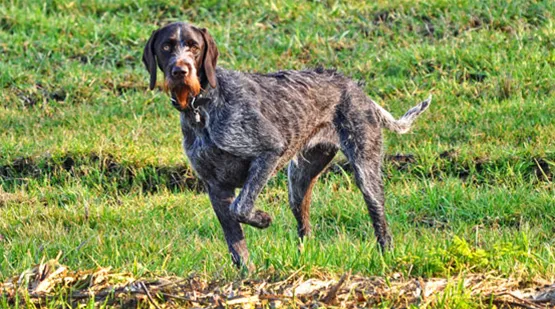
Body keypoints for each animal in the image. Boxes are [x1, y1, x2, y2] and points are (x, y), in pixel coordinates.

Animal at [142, 22, 430, 268]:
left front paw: (262, 219)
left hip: (365, 172)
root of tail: (355, 87)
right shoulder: (215, 187)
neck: (201, 109)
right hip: (298, 183)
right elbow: (236, 244)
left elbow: (241, 208)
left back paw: (386, 257)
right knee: (305, 230)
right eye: (166, 47)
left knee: (380, 224)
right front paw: (247, 278)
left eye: (194, 46)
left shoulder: (268, 151)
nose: (180, 71)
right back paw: (303, 260)